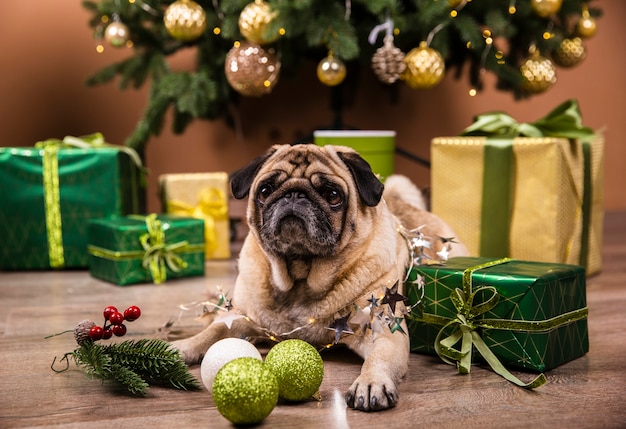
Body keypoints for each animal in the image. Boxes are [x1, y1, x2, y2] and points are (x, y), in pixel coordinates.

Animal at [173, 143, 466, 412]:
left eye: (332, 195)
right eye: (265, 191)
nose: (294, 195)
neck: (300, 276)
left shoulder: (384, 329)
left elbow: (379, 359)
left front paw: (371, 382)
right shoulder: (241, 318)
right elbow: (212, 331)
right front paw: (180, 347)